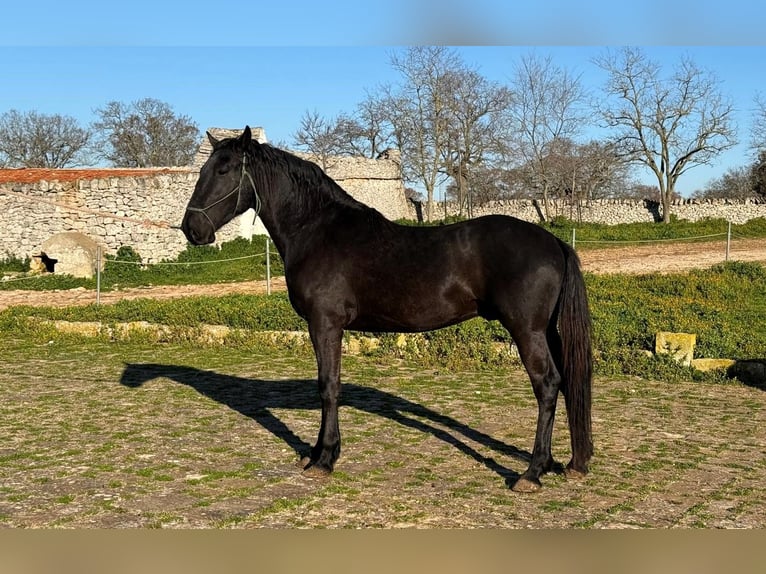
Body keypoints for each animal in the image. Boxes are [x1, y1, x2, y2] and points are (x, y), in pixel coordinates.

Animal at [180, 127, 592, 496]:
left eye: (224, 170)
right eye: (202, 170)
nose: (191, 228)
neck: (317, 230)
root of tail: (553, 242)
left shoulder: (325, 324)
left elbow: (328, 386)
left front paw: (324, 459)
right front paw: (316, 453)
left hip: (527, 331)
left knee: (547, 385)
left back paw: (532, 472)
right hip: (548, 332)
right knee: (566, 381)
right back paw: (564, 462)